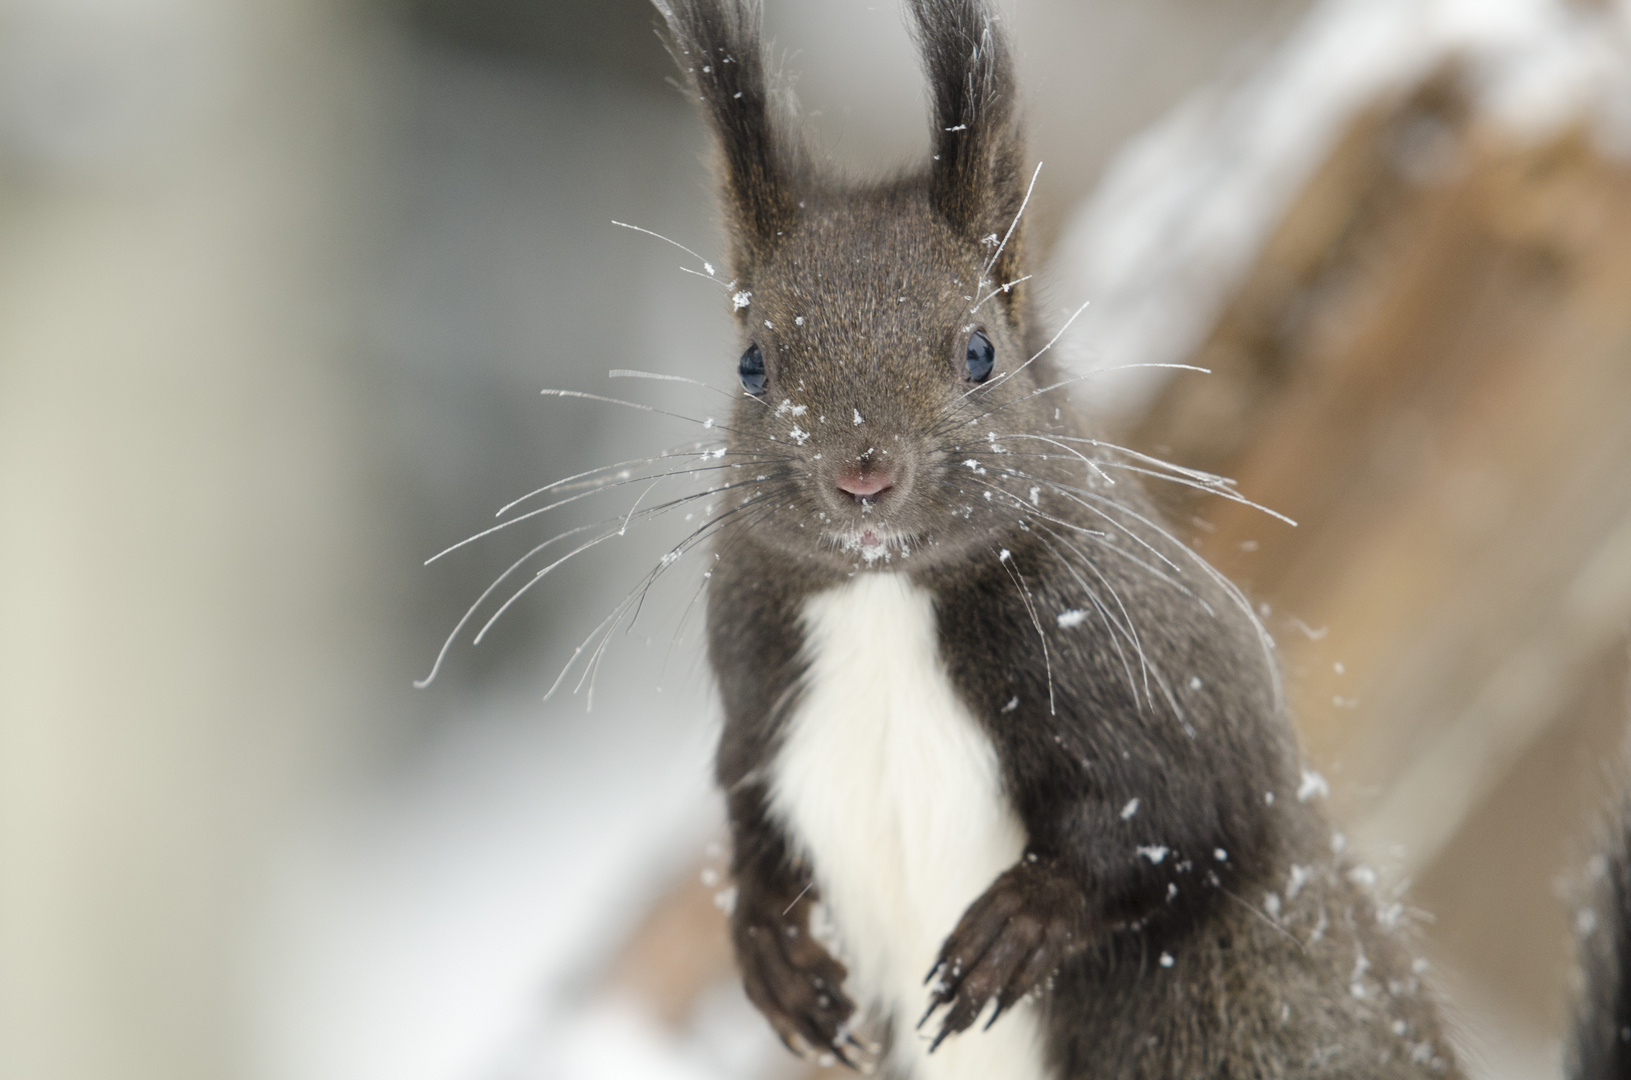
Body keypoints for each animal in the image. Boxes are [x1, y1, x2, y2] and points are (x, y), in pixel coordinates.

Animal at [636, 2, 1631, 1080]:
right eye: (751, 363)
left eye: (978, 351)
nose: (862, 473)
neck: (885, 601)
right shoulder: (754, 700)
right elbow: (749, 832)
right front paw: (771, 950)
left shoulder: (1170, 671)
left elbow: (1188, 821)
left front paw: (1019, 923)